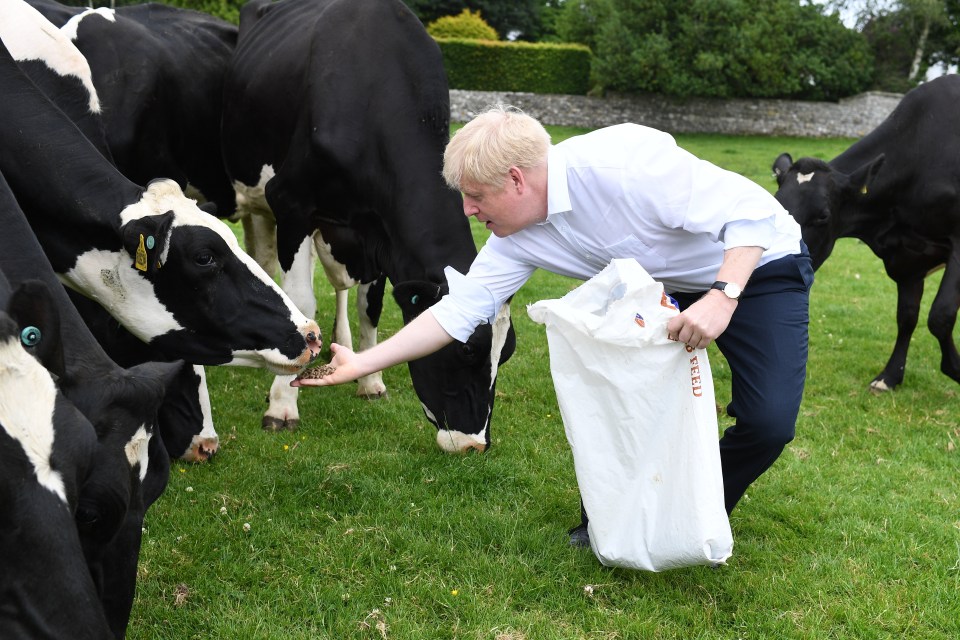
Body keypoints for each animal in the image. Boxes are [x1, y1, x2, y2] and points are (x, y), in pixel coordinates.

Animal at [222, 0, 516, 450]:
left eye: (507, 352)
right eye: (466, 349)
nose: (474, 444)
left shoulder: (380, 235)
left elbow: (370, 306)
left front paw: (369, 379)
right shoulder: (291, 203)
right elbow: (303, 302)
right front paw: (282, 405)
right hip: (260, 200)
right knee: (267, 263)